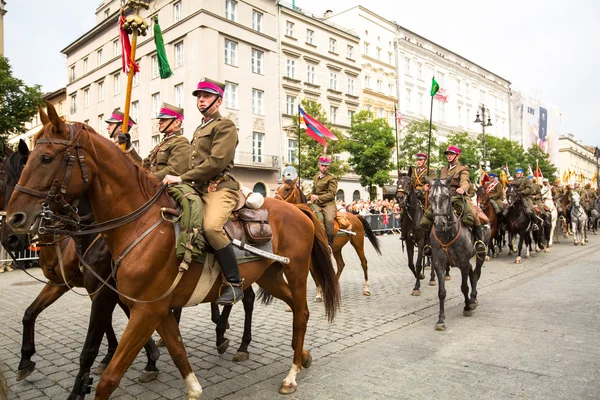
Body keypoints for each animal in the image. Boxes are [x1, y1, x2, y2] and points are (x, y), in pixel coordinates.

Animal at [7, 104, 340, 400]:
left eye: (46, 158)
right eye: (27, 161)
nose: (13, 221)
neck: (140, 223)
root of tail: (296, 210)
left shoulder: (139, 308)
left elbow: (107, 375)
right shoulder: (153, 307)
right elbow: (178, 351)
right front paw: (188, 384)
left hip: (295, 271)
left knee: (301, 312)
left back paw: (290, 374)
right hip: (268, 276)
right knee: (287, 307)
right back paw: (300, 355)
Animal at [426, 179, 488, 332]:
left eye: (446, 196)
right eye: (430, 197)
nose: (439, 223)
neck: (447, 233)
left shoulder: (463, 264)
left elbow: (464, 287)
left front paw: (467, 307)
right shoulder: (439, 265)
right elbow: (441, 292)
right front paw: (441, 320)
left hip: (480, 255)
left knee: (476, 274)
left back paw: (473, 299)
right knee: (473, 273)